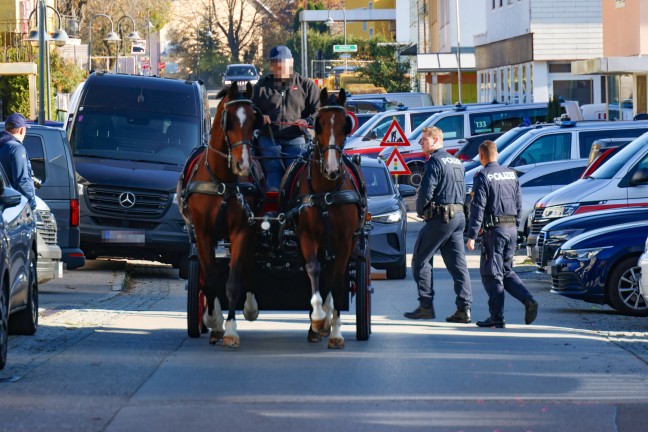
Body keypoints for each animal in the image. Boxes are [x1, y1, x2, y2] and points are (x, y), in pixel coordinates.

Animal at [177, 82, 264, 350]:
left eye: (253, 119)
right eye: (229, 121)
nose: (243, 164)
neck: (222, 181)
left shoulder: (241, 231)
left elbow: (233, 281)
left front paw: (231, 330)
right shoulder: (204, 233)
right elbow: (211, 279)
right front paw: (214, 321)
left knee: (248, 264)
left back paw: (250, 306)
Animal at [294, 88, 364, 348]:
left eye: (345, 124)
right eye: (319, 123)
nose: (332, 169)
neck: (326, 192)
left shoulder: (345, 242)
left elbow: (337, 279)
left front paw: (334, 330)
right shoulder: (307, 236)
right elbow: (313, 269)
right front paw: (317, 318)